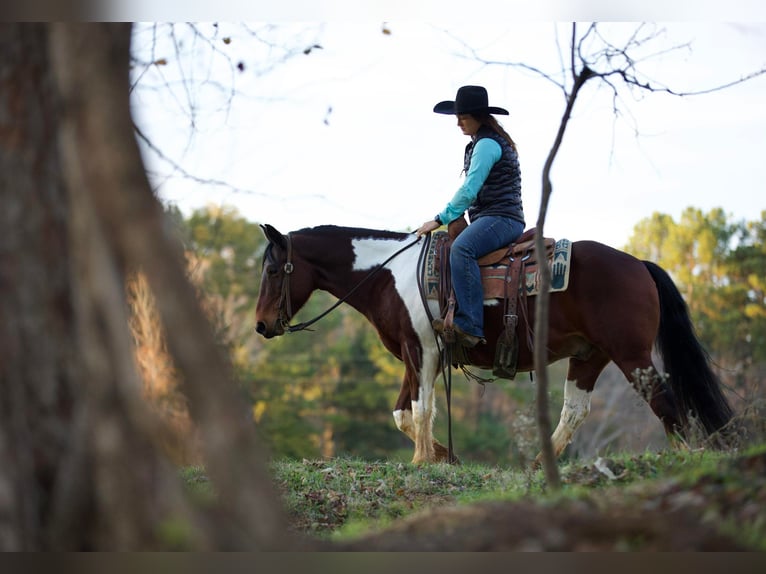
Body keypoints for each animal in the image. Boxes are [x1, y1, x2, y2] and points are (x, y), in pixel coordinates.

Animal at [255, 223, 736, 466]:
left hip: (631, 355)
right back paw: (542, 464)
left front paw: (422, 462)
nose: (261, 325)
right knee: (575, 411)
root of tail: (637, 263)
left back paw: (690, 457)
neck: (391, 274)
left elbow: (422, 410)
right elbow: (403, 414)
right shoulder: (415, 354)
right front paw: (444, 456)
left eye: (275, 269)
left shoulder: (422, 349)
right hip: (589, 356)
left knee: (667, 402)